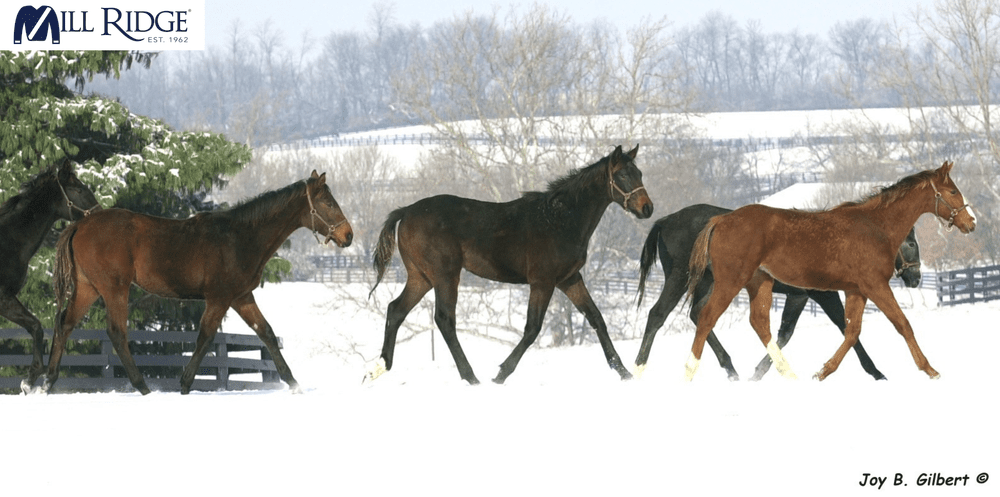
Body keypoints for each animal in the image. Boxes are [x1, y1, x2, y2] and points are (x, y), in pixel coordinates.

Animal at [1, 160, 101, 393]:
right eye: (78, 189)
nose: (100, 213)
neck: (7, 241)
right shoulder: (3, 298)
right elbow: (36, 327)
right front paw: (30, 379)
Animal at [38, 171, 353, 395]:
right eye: (327, 202)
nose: (348, 235)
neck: (240, 237)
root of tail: (80, 224)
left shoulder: (241, 297)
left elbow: (266, 333)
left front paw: (293, 382)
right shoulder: (219, 298)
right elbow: (205, 337)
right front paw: (185, 383)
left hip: (88, 288)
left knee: (64, 324)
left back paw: (46, 382)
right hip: (114, 288)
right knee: (116, 333)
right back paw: (142, 387)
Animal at [367, 145, 653, 384]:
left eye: (640, 173)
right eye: (622, 175)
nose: (647, 208)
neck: (560, 220)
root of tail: (405, 211)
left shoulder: (570, 279)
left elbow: (596, 318)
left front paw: (625, 373)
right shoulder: (543, 282)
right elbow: (532, 328)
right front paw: (501, 374)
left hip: (421, 278)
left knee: (396, 310)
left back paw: (378, 368)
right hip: (445, 276)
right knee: (444, 319)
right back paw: (471, 378)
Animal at [633, 203, 922, 381]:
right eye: (910, 243)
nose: (916, 278)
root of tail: (665, 220)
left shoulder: (799, 296)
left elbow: (785, 333)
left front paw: (759, 372)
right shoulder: (824, 295)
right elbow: (845, 328)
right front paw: (876, 372)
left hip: (710, 283)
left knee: (698, 316)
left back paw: (731, 369)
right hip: (680, 280)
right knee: (658, 315)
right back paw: (637, 368)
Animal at [685, 161, 975, 381]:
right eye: (952, 191)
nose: (970, 222)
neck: (875, 228)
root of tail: (720, 220)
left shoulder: (856, 291)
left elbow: (852, 331)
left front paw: (823, 371)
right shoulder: (875, 286)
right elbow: (902, 324)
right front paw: (929, 369)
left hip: (760, 283)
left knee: (759, 323)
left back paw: (787, 374)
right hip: (731, 282)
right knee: (706, 317)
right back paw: (690, 372)